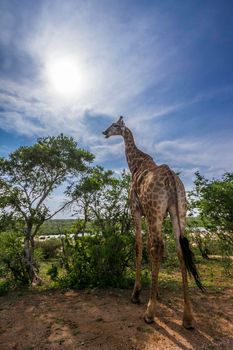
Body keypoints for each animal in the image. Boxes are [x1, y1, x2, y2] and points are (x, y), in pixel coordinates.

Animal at [102, 116, 204, 330]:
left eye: (114, 125)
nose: (104, 132)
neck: (135, 163)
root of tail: (172, 180)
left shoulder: (136, 209)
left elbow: (139, 246)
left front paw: (138, 293)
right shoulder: (157, 214)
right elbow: (151, 248)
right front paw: (154, 292)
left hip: (156, 210)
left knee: (158, 246)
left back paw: (149, 313)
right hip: (178, 211)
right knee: (179, 249)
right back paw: (188, 317)